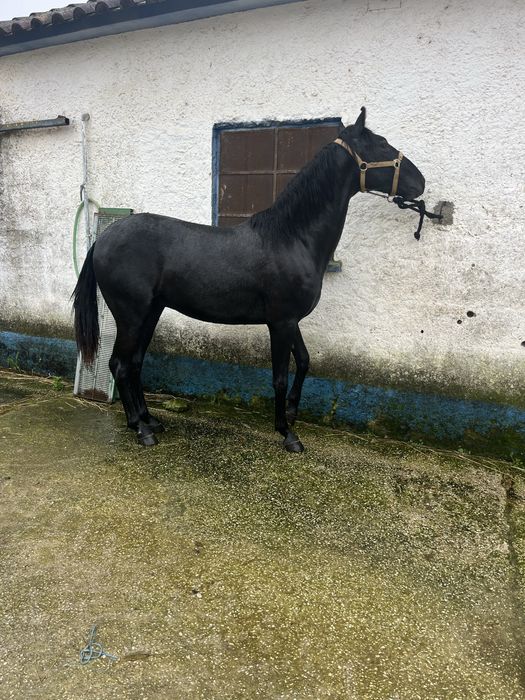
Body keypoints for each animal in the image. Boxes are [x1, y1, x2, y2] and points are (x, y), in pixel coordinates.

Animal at [73, 107, 426, 452]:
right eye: (381, 144)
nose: (420, 183)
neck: (291, 238)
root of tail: (104, 239)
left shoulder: (290, 320)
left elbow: (304, 361)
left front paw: (292, 411)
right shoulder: (281, 322)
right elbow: (280, 376)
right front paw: (287, 433)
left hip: (151, 312)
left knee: (134, 363)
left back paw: (149, 420)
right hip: (130, 315)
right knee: (119, 364)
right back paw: (140, 429)